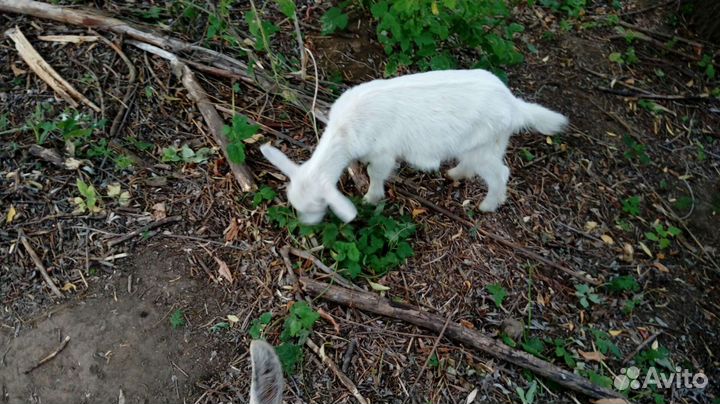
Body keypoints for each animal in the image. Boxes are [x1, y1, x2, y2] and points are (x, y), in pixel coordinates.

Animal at [261, 69, 568, 225]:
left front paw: (371, 198)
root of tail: (513, 105)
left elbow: (376, 174)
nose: (305, 225)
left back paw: (487, 205)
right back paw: (455, 175)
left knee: (500, 174)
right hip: (483, 143)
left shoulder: (383, 153)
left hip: (485, 145)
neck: (345, 130)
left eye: (318, 204)